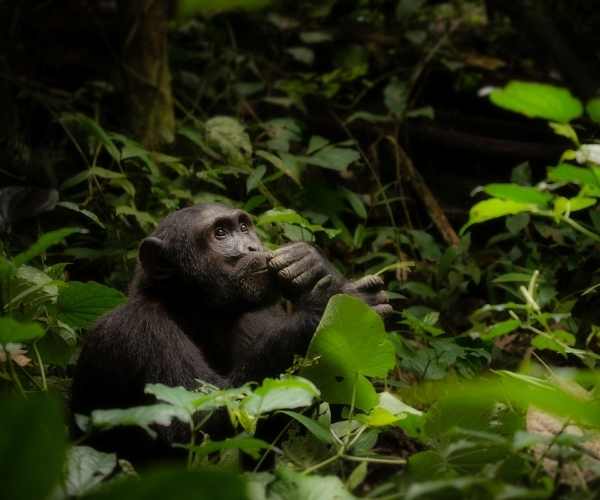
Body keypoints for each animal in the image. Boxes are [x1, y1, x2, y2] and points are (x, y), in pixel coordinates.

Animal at [70, 202, 392, 458]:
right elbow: (200, 418)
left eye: (244, 227)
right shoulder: (138, 330)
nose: (252, 247)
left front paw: (312, 264)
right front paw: (332, 299)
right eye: (221, 233)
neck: (198, 311)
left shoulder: (261, 315)